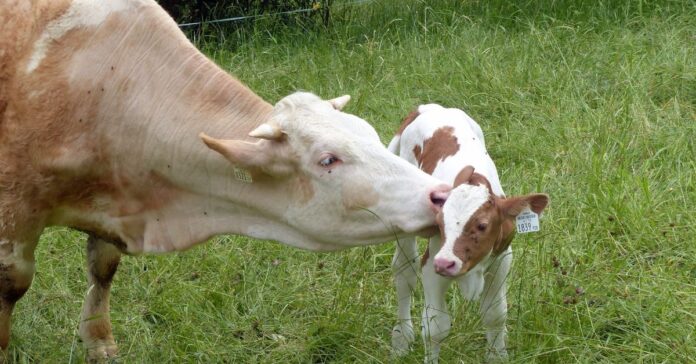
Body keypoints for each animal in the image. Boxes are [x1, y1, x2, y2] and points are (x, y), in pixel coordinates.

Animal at [0, 0, 452, 362]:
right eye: (328, 159)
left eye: (370, 134)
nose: (440, 194)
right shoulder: (15, 207)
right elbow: (13, 282)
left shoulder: (114, 205)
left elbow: (103, 267)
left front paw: (98, 342)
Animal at [388, 104, 548, 362]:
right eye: (440, 222)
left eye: (482, 225)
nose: (446, 263)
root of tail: (428, 107)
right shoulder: (432, 264)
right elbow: (435, 327)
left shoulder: (502, 259)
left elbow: (495, 314)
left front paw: (497, 356)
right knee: (404, 271)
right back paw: (402, 338)